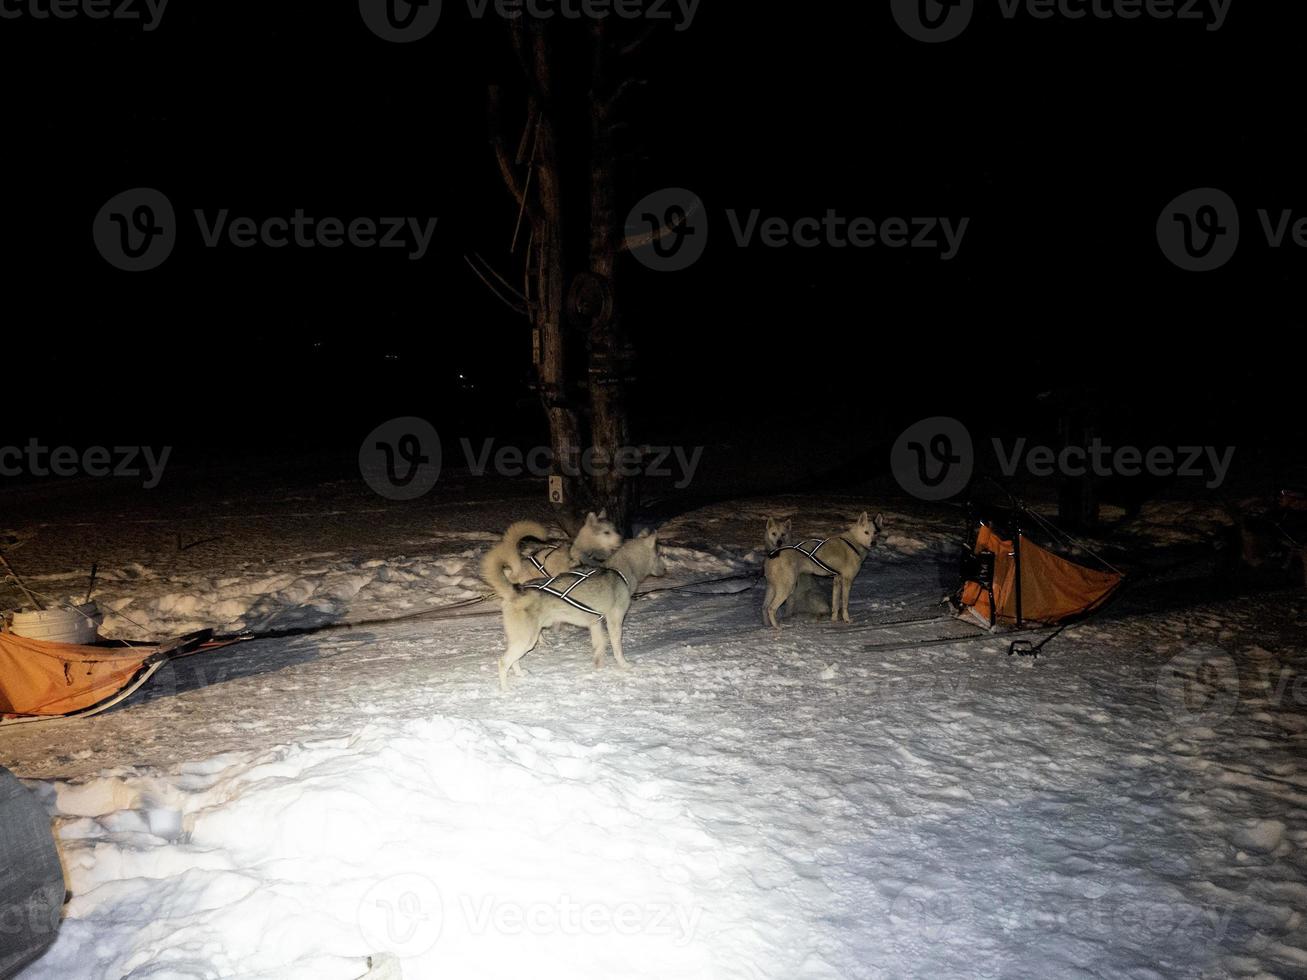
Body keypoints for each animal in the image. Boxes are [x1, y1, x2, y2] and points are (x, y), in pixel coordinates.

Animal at [483, 530, 669, 689]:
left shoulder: (595, 624)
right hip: (527, 640)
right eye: (660, 554)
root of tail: (516, 589)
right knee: (503, 662)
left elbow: (599, 645)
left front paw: (598, 666)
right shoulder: (614, 621)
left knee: (513, 660)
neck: (620, 571)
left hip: (523, 640)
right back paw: (506, 690)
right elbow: (617, 648)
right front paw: (624, 665)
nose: (666, 570)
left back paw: (520, 674)